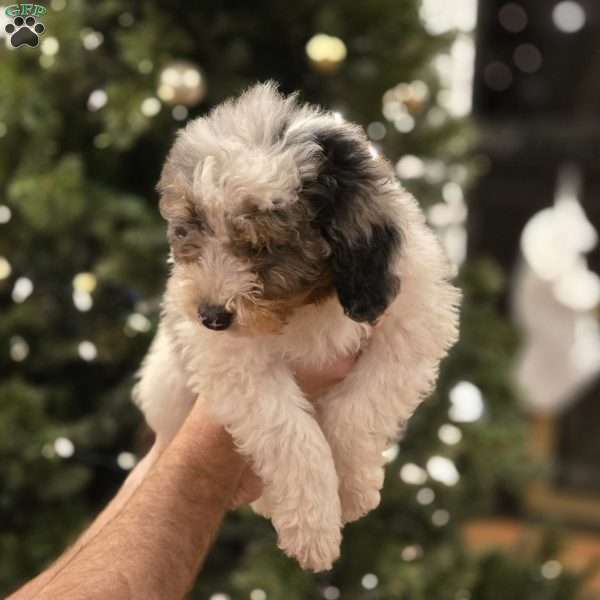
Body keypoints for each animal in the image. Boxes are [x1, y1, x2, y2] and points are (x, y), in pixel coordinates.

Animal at [134, 81, 460, 572]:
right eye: (190, 229)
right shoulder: (235, 363)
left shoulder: (412, 325)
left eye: (263, 246)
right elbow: (290, 433)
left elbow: (358, 411)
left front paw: (353, 489)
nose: (210, 317)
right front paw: (313, 528)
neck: (307, 303)